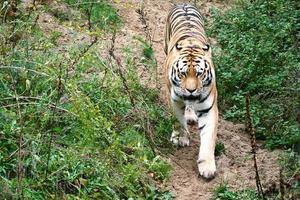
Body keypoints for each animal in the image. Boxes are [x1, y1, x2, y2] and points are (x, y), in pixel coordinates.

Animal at [164, 3, 218, 178]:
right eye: (183, 73)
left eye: (200, 74)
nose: (191, 90)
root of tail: (183, 4)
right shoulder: (174, 101)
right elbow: (178, 121)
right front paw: (181, 138)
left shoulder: (209, 109)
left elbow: (208, 138)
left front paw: (207, 166)